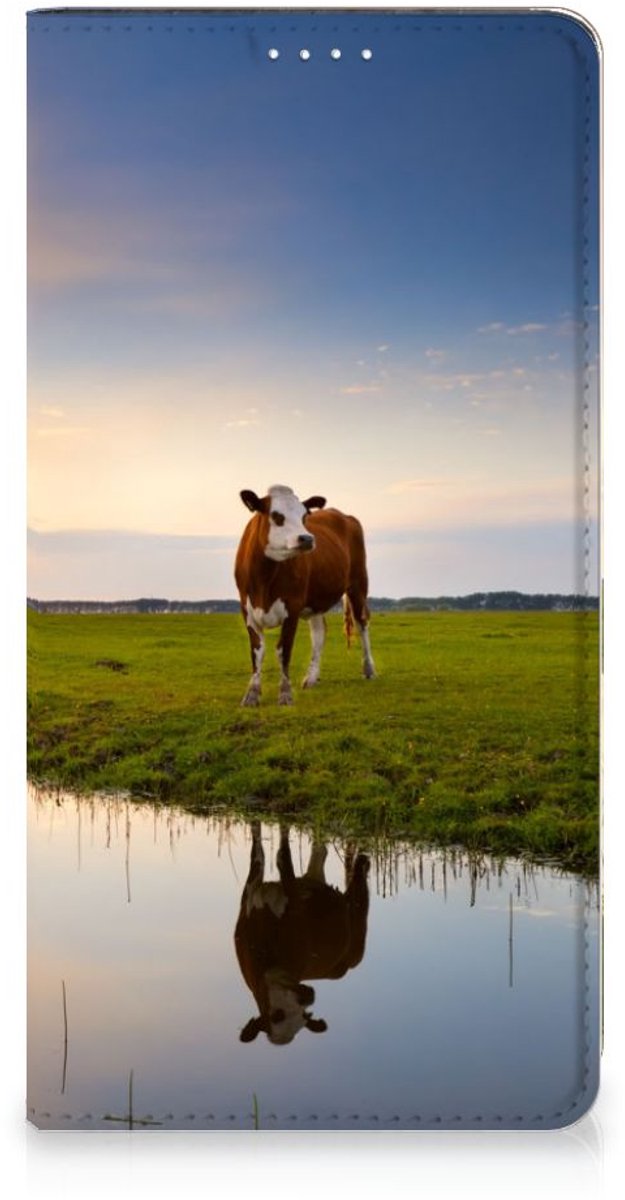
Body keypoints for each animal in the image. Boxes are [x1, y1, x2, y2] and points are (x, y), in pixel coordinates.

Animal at [234, 485, 375, 706]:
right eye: (276, 515)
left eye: (304, 516)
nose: (307, 538)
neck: (264, 578)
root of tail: (343, 515)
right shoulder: (247, 609)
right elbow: (257, 651)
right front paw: (252, 694)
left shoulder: (292, 607)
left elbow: (283, 650)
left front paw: (285, 694)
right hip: (316, 599)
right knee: (319, 632)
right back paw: (311, 677)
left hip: (358, 583)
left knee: (362, 623)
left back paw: (368, 668)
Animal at [234, 822, 370, 1045]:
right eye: (277, 1015)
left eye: (304, 1017)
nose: (308, 996)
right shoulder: (250, 892)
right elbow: (259, 850)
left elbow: (282, 856)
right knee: (320, 850)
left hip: (357, 934)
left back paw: (363, 861)